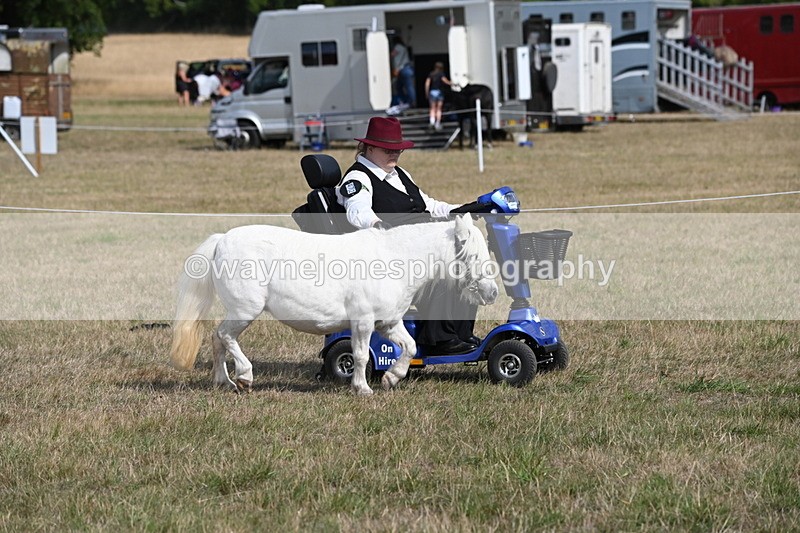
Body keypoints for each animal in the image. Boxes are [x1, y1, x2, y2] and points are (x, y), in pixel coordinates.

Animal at [170, 215, 499, 396]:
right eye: (473, 255)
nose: (493, 292)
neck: (393, 260)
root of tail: (222, 240)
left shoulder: (389, 322)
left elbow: (410, 347)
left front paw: (391, 378)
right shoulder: (362, 322)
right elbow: (361, 356)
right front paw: (362, 388)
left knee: (217, 339)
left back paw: (223, 382)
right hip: (244, 310)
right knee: (224, 336)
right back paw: (244, 377)